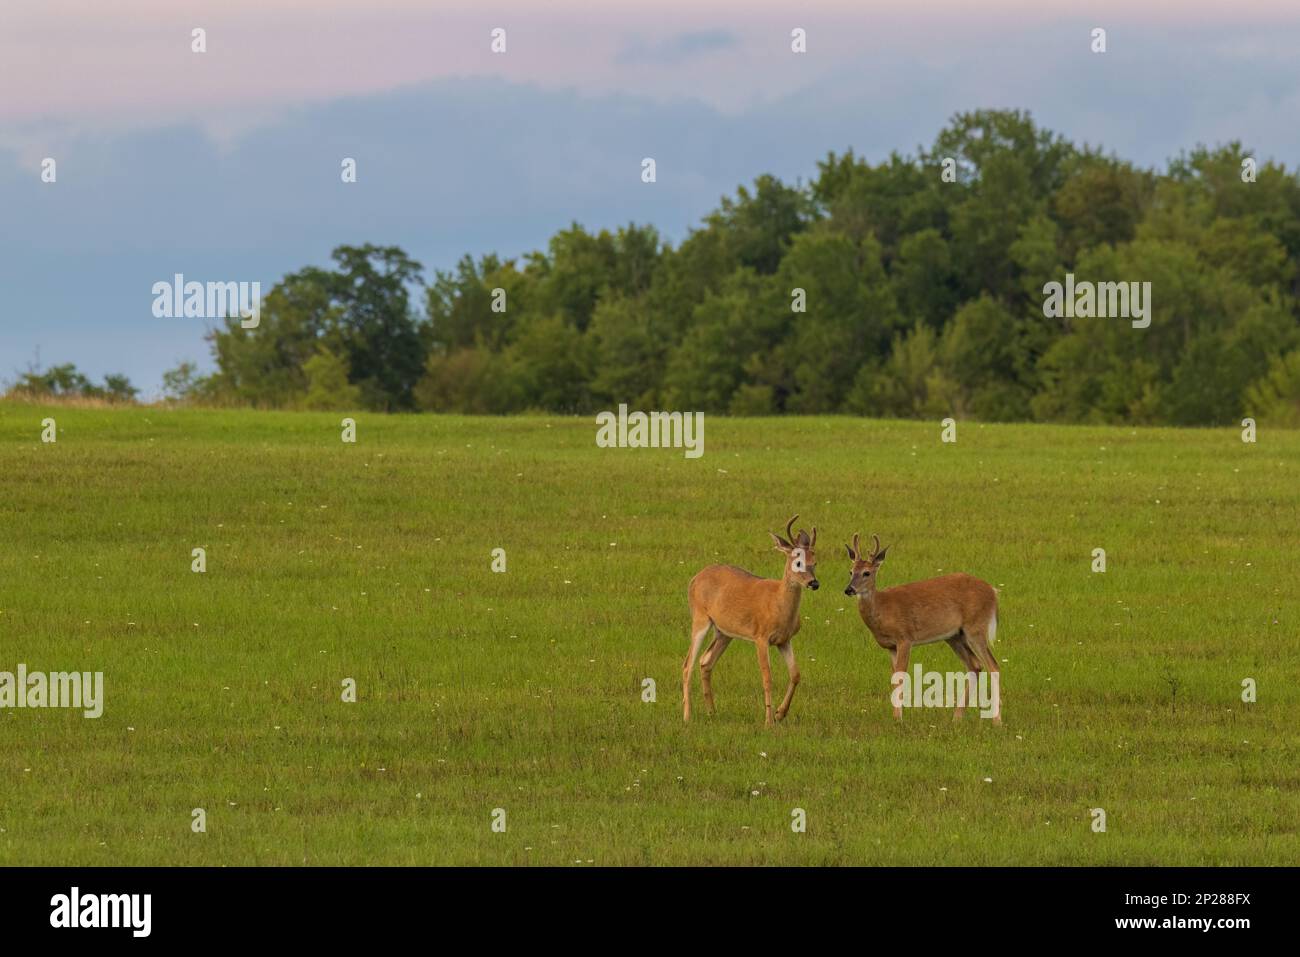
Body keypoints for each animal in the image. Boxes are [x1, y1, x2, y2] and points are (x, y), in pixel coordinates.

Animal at [686, 514, 816, 722]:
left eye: (815, 562)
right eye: (798, 562)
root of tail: (694, 579)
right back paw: (687, 716)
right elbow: (767, 678)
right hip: (700, 618)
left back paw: (712, 712)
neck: (778, 605)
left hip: (724, 632)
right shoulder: (760, 637)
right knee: (687, 664)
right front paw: (769, 720)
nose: (814, 583)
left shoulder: (784, 640)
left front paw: (780, 714)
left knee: (705, 661)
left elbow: (795, 674)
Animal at [842, 535, 1003, 722]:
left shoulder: (905, 638)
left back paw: (996, 721)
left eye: (866, 573)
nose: (849, 589)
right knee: (975, 665)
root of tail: (993, 591)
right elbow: (893, 677)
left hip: (976, 627)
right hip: (955, 636)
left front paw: (898, 719)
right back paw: (956, 718)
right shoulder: (891, 646)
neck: (883, 608)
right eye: (851, 571)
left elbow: (900, 676)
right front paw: (895, 717)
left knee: (993, 666)